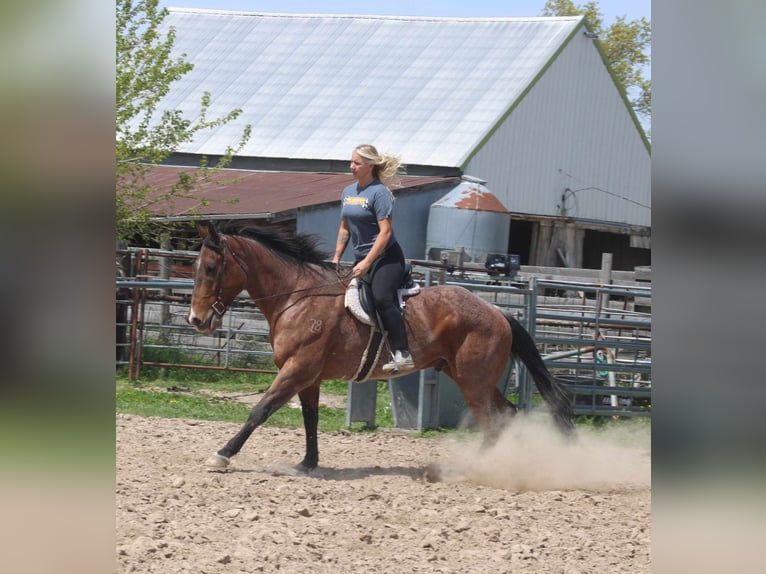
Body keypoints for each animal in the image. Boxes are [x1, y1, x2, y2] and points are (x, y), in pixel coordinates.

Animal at [188, 224, 576, 472]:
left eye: (212, 268)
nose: (197, 320)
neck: (297, 296)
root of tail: (498, 312)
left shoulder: (297, 369)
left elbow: (260, 410)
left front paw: (222, 455)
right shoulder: (308, 376)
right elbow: (311, 418)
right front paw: (308, 464)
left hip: (473, 382)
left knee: (494, 420)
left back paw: (471, 468)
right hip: (468, 377)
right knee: (505, 416)